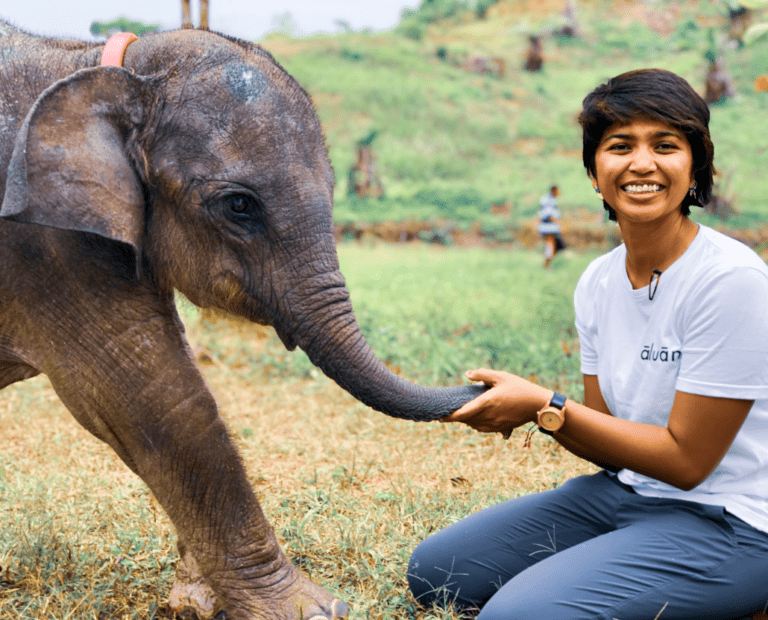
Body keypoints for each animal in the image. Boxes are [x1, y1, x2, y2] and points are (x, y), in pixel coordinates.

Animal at [0, 20, 486, 620]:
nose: (482, 381)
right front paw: (310, 610)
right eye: (239, 206)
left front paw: (196, 601)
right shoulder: (47, 247)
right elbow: (154, 397)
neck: (102, 68)